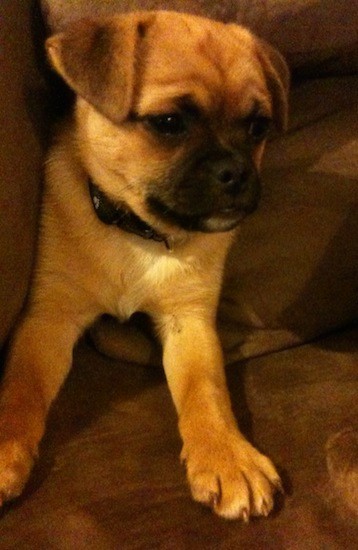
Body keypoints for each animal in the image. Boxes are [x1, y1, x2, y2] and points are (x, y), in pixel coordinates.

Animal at [0, 11, 288, 520]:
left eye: (258, 127)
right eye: (169, 123)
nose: (237, 172)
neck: (139, 233)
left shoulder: (188, 322)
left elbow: (206, 390)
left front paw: (226, 456)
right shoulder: (48, 319)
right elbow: (22, 388)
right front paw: (4, 453)